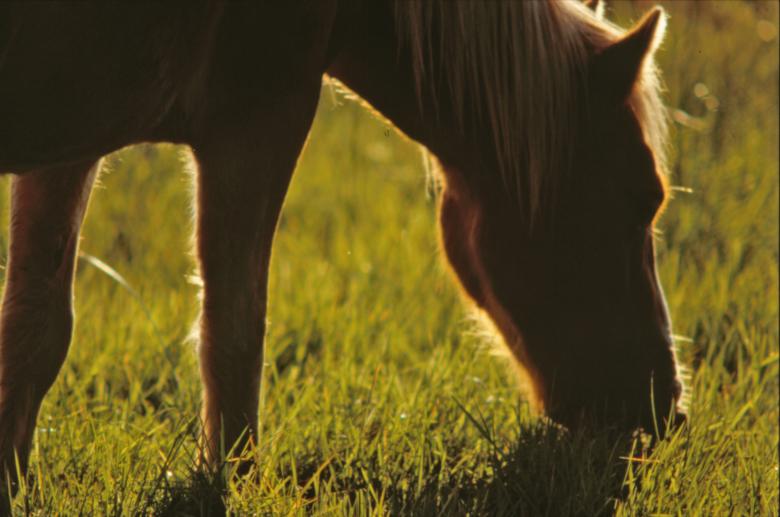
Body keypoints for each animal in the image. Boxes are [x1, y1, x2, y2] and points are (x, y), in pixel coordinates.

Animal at [0, 0, 686, 488]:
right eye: (644, 197)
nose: (663, 409)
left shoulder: (76, 131)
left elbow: (35, 329)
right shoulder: (258, 120)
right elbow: (236, 335)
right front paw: (228, 480)